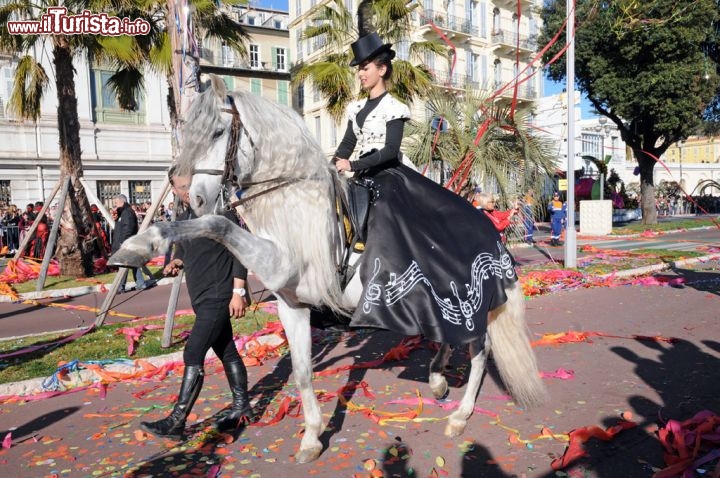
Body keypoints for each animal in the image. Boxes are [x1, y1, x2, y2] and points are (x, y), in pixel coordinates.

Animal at [109, 75, 544, 464]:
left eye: (217, 132)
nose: (187, 195)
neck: (291, 198)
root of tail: (488, 228)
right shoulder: (291, 302)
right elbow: (302, 371)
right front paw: (312, 438)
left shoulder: (279, 264)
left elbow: (218, 225)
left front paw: (140, 244)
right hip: (438, 299)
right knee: (451, 337)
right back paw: (437, 379)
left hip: (472, 299)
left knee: (480, 350)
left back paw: (459, 416)